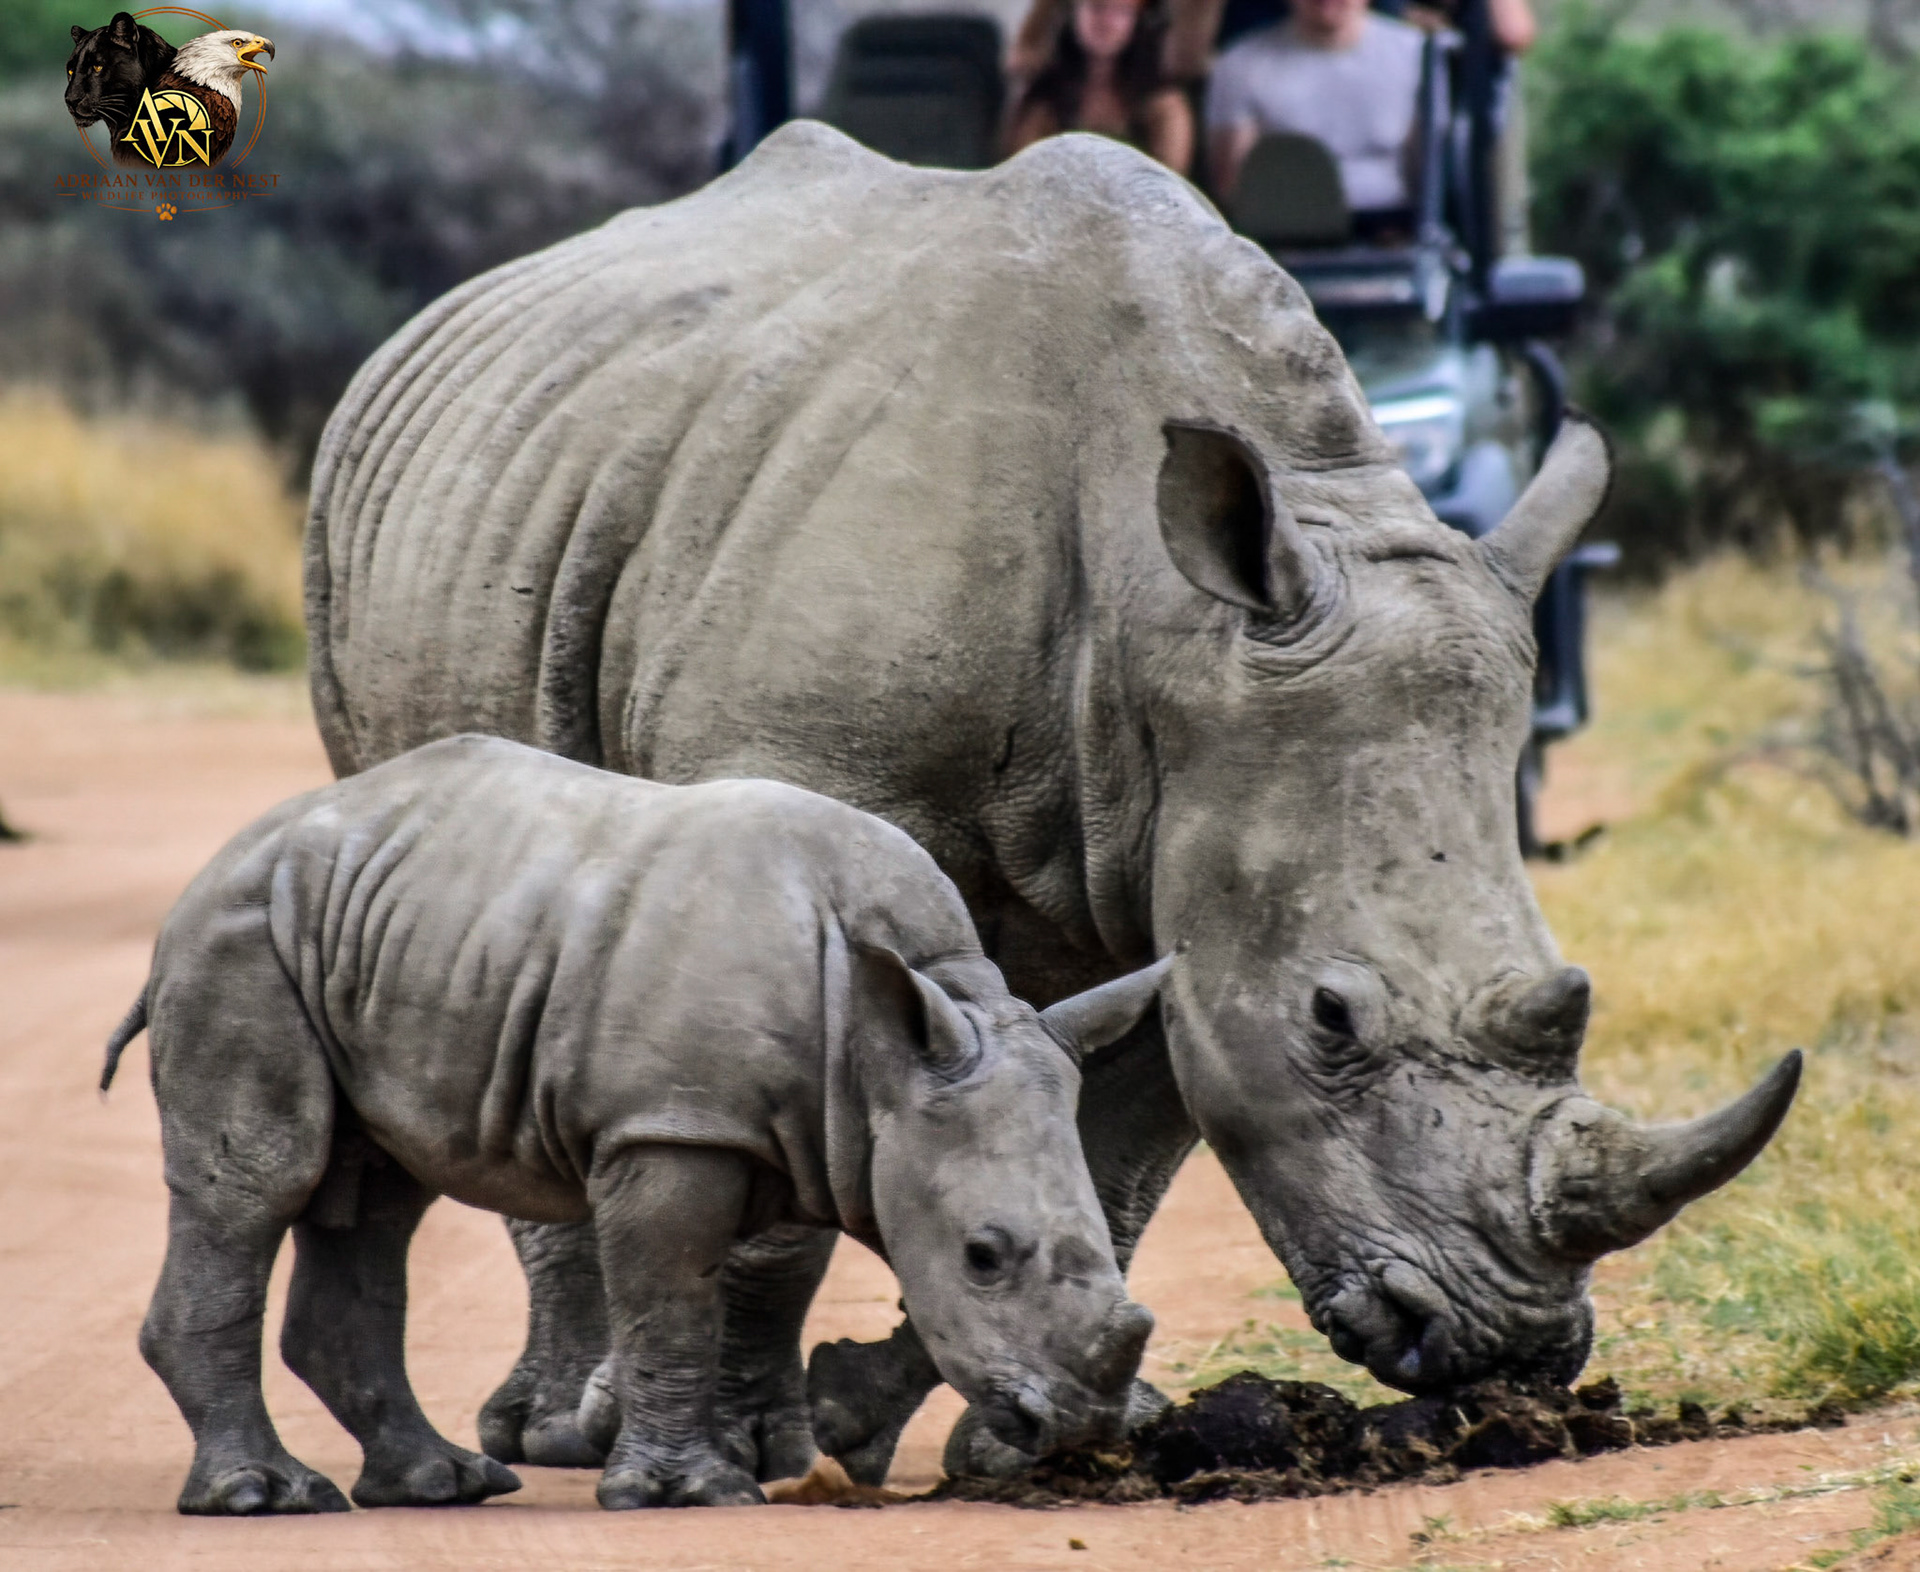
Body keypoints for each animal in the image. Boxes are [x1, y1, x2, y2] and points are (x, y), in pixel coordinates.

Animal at [103, 734, 1161, 1513]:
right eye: (984, 1257)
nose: (1078, 1427)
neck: (885, 1050)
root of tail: (225, 858)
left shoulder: (786, 1126)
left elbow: (728, 1285)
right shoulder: (674, 1125)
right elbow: (672, 1300)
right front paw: (687, 1494)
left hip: (370, 928)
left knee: (377, 1196)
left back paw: (443, 1484)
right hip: (239, 938)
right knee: (267, 1178)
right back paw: (262, 1497)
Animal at [304, 122, 1800, 1483]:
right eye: (1331, 1021)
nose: (1512, 1348)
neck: (1174, 632)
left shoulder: (1181, 874)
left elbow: (1108, 1154)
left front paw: (1024, 1434)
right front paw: (758, 1441)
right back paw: (558, 1432)